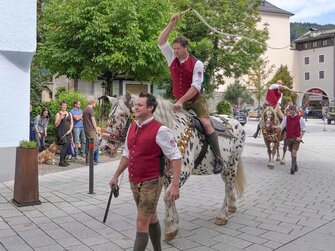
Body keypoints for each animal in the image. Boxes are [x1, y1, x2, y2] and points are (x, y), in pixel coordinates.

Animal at [103, 93, 248, 241]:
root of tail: (235, 121)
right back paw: (232, 205)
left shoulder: (183, 172)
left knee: (228, 186)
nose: (105, 147)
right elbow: (169, 197)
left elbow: (167, 197)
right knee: (229, 185)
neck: (171, 131)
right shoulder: (167, 175)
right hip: (226, 168)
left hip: (232, 163)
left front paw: (170, 228)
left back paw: (222, 215)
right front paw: (173, 222)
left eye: (122, 115)